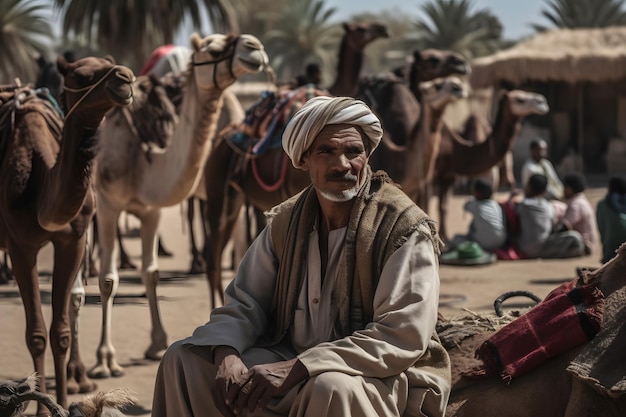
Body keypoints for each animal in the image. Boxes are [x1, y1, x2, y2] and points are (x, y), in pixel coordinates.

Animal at [0, 56, 133, 412]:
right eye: (80, 76)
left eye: (110, 63)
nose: (126, 78)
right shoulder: (20, 246)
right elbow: (36, 335)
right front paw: (40, 409)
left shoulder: (72, 240)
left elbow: (59, 332)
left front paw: (60, 401)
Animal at [428, 90, 544, 240]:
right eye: (519, 99)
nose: (542, 102)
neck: (452, 151)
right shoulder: (431, 176)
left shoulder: (449, 176)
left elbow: (444, 207)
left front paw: (445, 236)